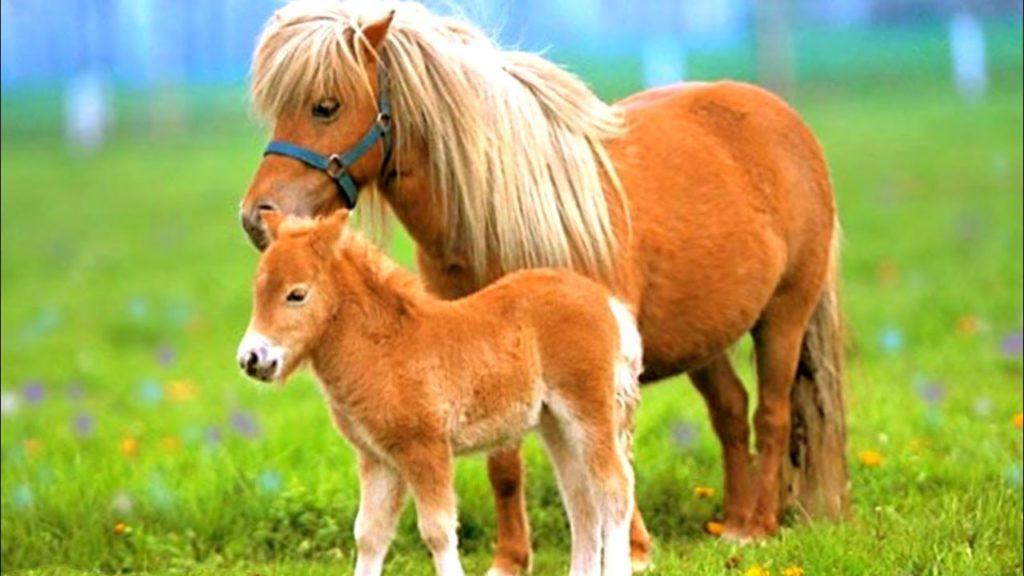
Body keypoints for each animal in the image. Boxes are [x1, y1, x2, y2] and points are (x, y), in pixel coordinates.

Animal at [236, 210, 643, 576]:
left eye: (296, 294)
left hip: (588, 410)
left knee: (614, 490)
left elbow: (437, 531)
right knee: (581, 501)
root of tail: (606, 302)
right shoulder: (378, 459)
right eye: (257, 290)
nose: (251, 359)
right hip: (554, 423)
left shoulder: (425, 449)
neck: (385, 348)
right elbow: (368, 535)